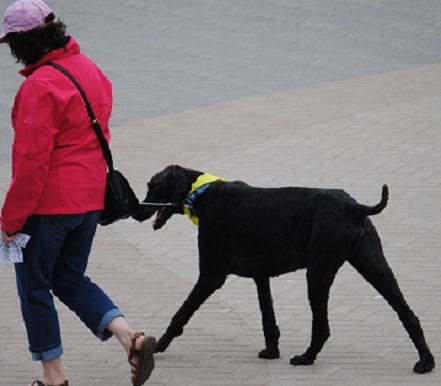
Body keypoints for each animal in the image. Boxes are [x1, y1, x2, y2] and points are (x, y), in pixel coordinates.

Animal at [133, 164, 434, 372]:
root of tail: (355, 207)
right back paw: (426, 361)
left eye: (154, 186)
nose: (137, 212)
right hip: (375, 266)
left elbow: (181, 313)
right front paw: (271, 351)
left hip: (318, 273)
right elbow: (268, 318)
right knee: (407, 314)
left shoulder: (210, 276)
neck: (202, 194)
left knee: (322, 327)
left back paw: (307, 357)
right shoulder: (261, 276)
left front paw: (158, 345)